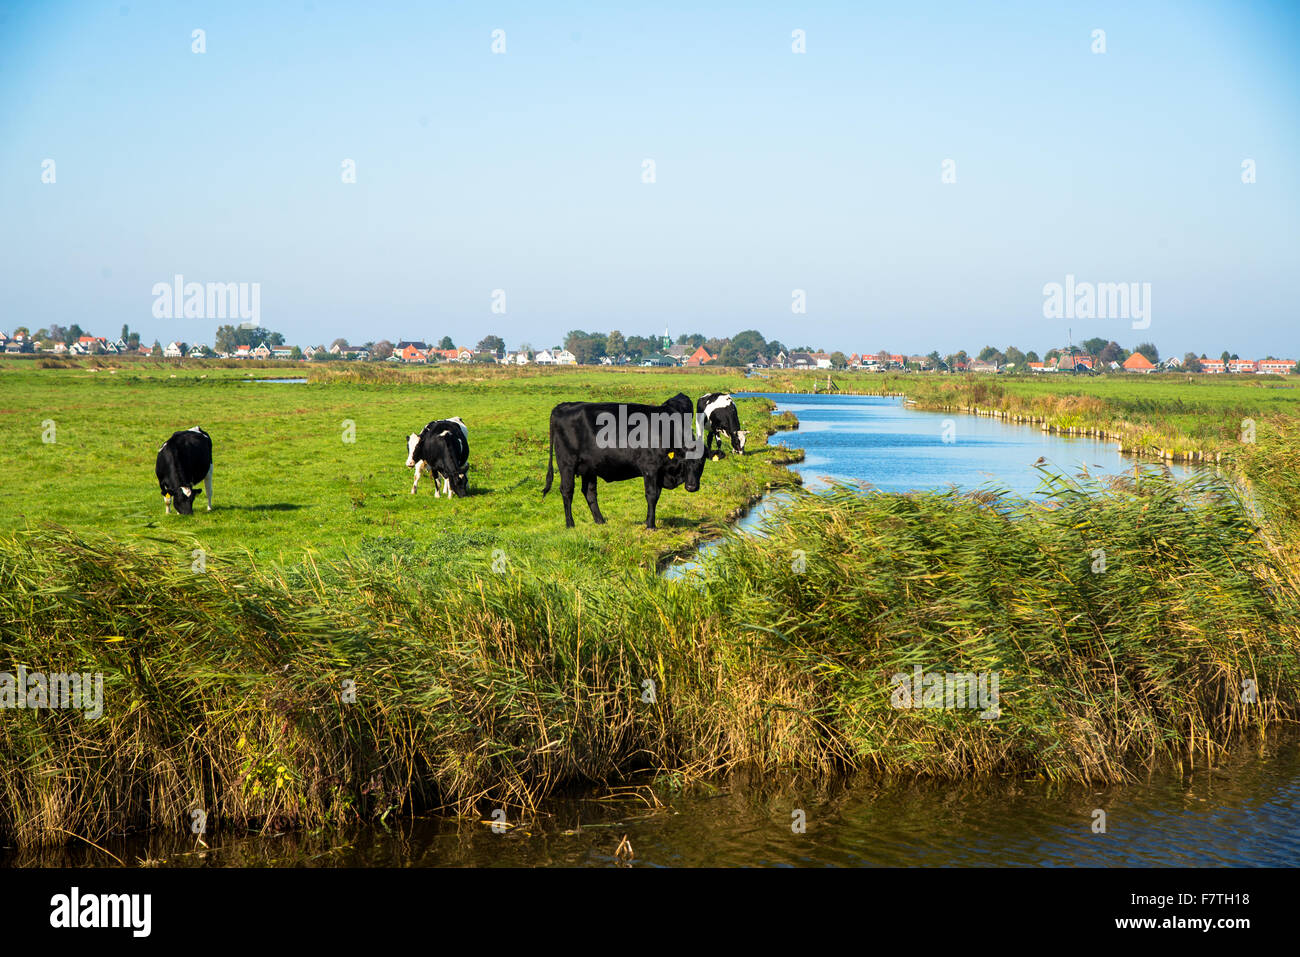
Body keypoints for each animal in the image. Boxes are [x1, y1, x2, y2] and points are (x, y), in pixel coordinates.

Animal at [542, 392, 723, 529]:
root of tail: (564, 406)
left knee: (589, 492)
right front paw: (650, 525)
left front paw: (648, 521)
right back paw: (570, 524)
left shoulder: (659, 472)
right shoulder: (650, 468)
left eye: (702, 462)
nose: (692, 487)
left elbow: (656, 496)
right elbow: (651, 495)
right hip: (567, 464)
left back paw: (600, 521)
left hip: (589, 467)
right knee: (567, 491)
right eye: (685, 461)